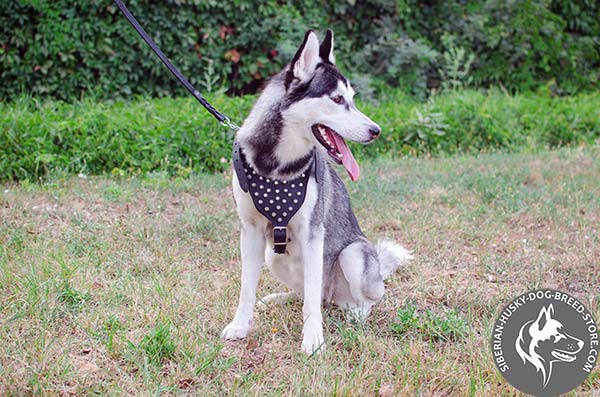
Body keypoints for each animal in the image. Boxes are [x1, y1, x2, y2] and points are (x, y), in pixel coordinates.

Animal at [221, 30, 412, 352]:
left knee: (352, 299)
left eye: (352, 99)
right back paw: (281, 298)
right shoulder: (250, 232)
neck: (278, 166)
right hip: (273, 256)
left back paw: (355, 313)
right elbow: (247, 289)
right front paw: (240, 326)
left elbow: (311, 300)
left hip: (353, 254)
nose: (376, 130)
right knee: (310, 294)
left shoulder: (312, 233)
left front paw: (313, 340)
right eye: (337, 99)